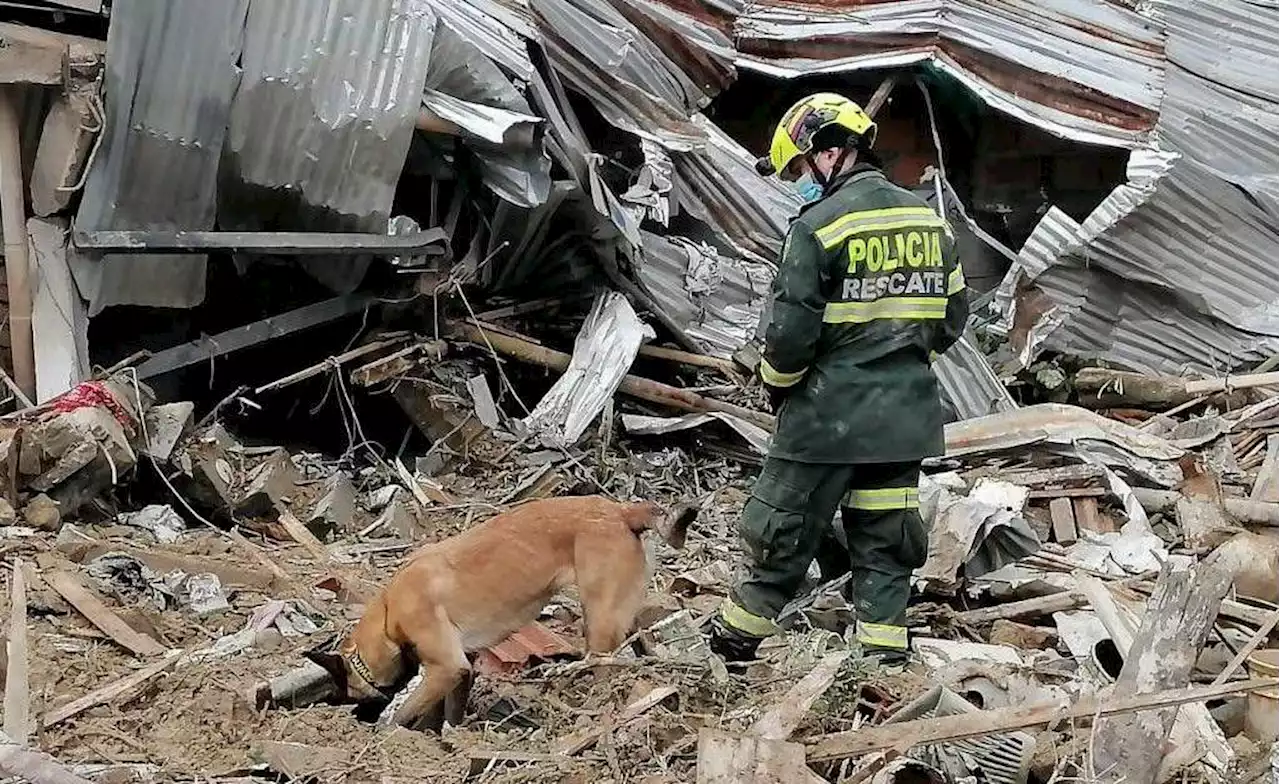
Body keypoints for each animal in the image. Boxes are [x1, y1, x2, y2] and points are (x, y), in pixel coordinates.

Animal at [305, 497, 696, 727]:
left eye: (347, 693)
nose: (353, 718)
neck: (388, 615)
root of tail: (620, 510)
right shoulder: (461, 669)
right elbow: (449, 710)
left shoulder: (447, 666)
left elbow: (403, 713)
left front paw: (388, 733)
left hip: (598, 619)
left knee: (604, 666)